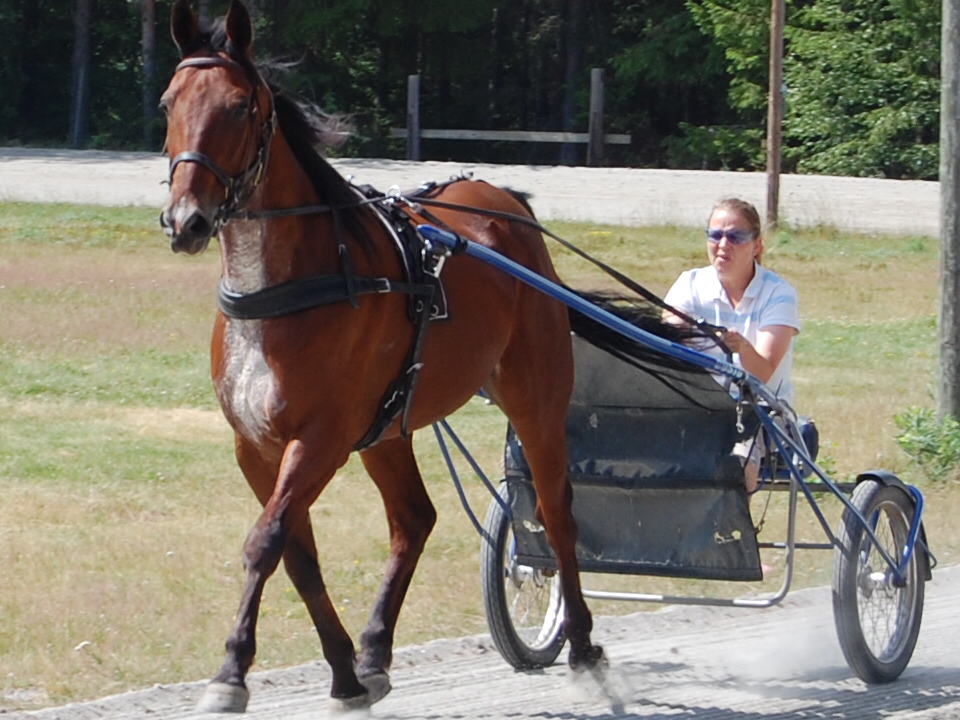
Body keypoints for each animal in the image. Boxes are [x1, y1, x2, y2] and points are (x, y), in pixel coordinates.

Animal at [160, 0, 690, 713]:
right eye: (169, 103)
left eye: (241, 107)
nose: (185, 220)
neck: (285, 285)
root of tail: (506, 204)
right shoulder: (256, 446)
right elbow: (296, 553)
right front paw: (344, 671)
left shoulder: (321, 438)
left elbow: (266, 541)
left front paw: (230, 671)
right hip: (387, 428)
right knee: (415, 519)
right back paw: (375, 649)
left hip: (534, 397)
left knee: (556, 511)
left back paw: (583, 648)